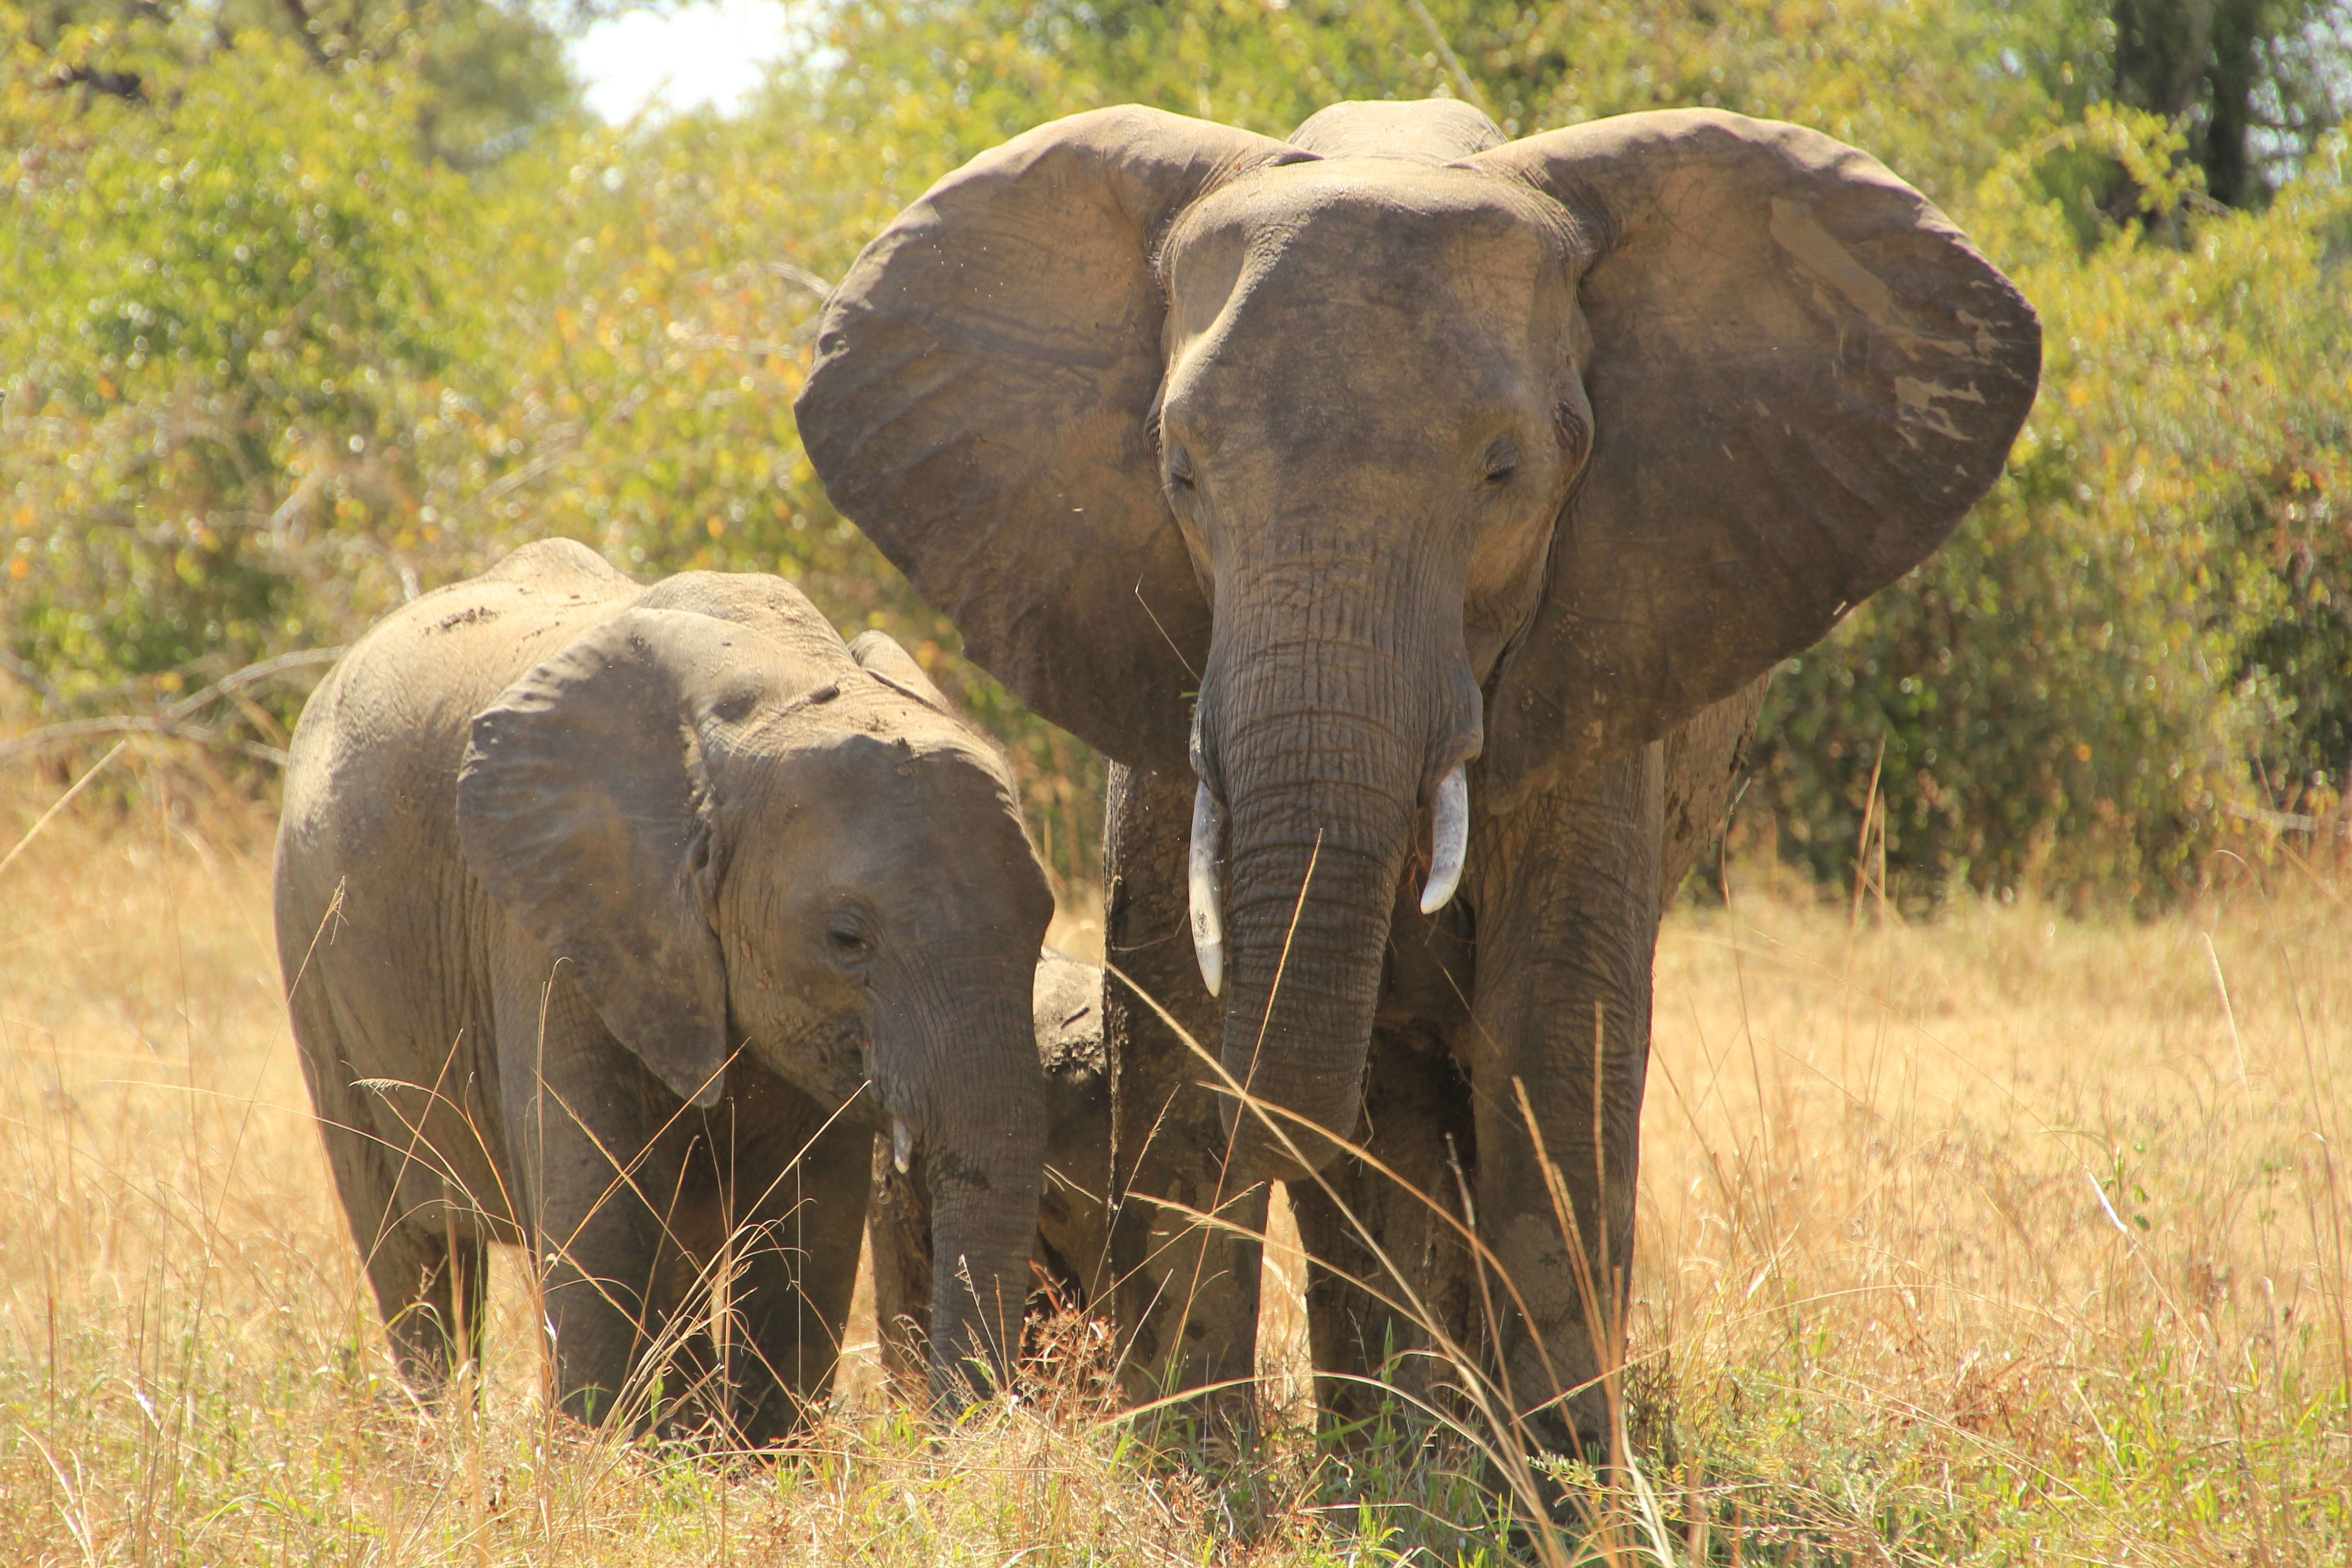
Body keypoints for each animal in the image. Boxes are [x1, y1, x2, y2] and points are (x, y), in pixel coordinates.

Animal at [270, 543, 1053, 1448]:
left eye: (1044, 920)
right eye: (846, 938)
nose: (949, 1438)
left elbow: (807, 1223)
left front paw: (758, 1461)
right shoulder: (551, 926)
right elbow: (602, 1210)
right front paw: (607, 1459)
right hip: (310, 941)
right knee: (414, 1250)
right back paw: (447, 1442)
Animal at [795, 98, 2041, 1457]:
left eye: (1505, 472)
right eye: (1181, 471)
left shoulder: (1604, 638)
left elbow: (1554, 1032)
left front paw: (1560, 1483)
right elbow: (1174, 1013)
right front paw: (1201, 1472)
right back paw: (1386, 1441)